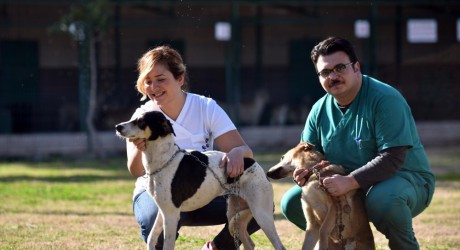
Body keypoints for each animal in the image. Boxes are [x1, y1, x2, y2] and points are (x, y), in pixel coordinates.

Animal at [115, 111, 284, 250]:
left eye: (140, 121)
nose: (117, 127)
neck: (164, 159)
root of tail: (254, 163)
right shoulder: (163, 211)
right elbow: (151, 238)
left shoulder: (171, 215)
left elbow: (167, 245)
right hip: (234, 217)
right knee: (249, 243)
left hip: (261, 214)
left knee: (279, 245)